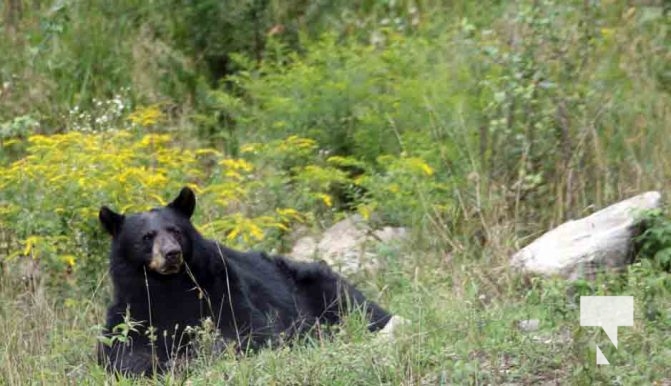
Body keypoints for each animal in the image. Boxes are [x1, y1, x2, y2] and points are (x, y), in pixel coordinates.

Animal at [100, 187, 394, 376]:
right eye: (147, 237)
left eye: (176, 231)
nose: (172, 253)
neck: (169, 285)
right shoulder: (132, 305)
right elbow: (121, 350)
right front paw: (159, 363)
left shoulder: (222, 288)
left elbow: (247, 330)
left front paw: (193, 357)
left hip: (324, 287)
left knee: (360, 309)